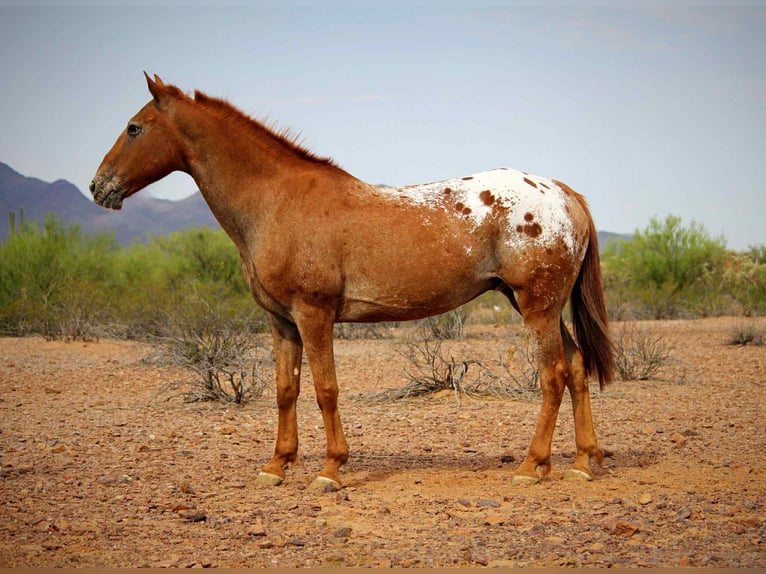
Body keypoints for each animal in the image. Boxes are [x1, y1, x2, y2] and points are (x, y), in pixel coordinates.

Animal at [91, 73, 616, 491]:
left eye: (134, 127)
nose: (99, 187)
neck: (277, 201)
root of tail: (561, 193)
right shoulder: (281, 322)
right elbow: (286, 391)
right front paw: (276, 465)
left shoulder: (314, 314)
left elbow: (326, 389)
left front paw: (330, 470)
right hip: (538, 305)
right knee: (576, 367)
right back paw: (583, 463)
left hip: (537, 306)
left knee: (553, 375)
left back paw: (532, 465)